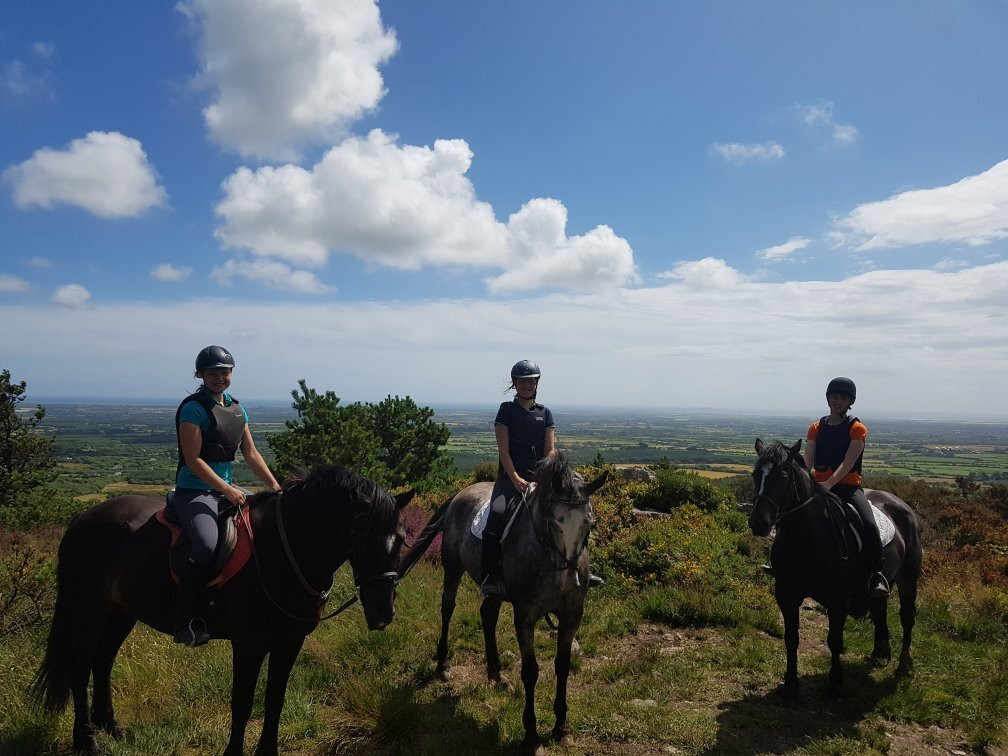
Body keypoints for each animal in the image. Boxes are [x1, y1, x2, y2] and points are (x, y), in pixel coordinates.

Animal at [34, 465, 413, 753]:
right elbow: (243, 702)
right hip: (88, 610)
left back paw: (111, 727)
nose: (382, 613)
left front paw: (268, 751)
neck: (282, 551)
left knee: (103, 662)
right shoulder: (249, 645)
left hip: (121, 613)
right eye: (360, 538)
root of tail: (81, 520)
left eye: (401, 538)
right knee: (80, 669)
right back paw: (86, 741)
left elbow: (275, 700)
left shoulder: (290, 642)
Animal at [399, 453, 604, 753]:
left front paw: (561, 727)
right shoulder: (525, 617)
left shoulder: (572, 616)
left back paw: (496, 674)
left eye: (589, 523)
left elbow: (563, 666)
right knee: (447, 608)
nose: (568, 582)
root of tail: (460, 494)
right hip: (452, 567)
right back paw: (443, 666)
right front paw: (531, 735)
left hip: (493, 591)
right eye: (553, 521)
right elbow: (530, 671)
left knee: (487, 616)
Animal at [749, 441, 923, 701]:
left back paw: (903, 666)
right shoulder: (787, 594)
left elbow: (834, 641)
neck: (807, 537)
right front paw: (790, 684)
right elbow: (791, 638)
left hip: (908, 579)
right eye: (756, 474)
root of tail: (902, 505)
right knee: (879, 608)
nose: (758, 523)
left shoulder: (838, 600)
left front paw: (834, 684)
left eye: (783, 477)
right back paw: (880, 652)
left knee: (907, 618)